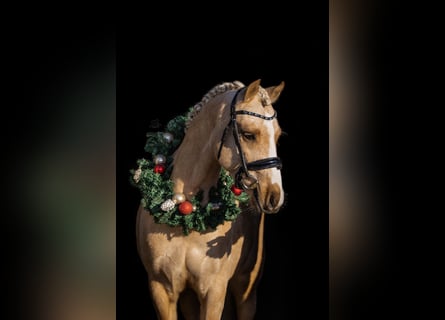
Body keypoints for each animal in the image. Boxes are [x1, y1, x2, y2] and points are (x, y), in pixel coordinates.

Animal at [134, 78, 284, 320]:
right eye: (248, 134)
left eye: (277, 135)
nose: (274, 195)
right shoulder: (162, 290)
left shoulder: (214, 291)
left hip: (245, 289)